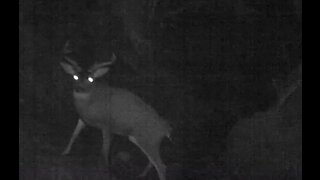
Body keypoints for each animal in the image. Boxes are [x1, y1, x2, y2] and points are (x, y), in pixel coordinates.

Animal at [59, 41, 171, 180]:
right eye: (75, 76)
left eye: (91, 79)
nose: (79, 89)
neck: (91, 103)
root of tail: (166, 130)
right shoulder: (83, 119)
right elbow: (73, 135)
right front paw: (64, 152)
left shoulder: (107, 124)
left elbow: (105, 151)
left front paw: (106, 170)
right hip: (140, 139)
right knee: (153, 162)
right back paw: (140, 174)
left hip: (148, 139)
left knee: (161, 166)